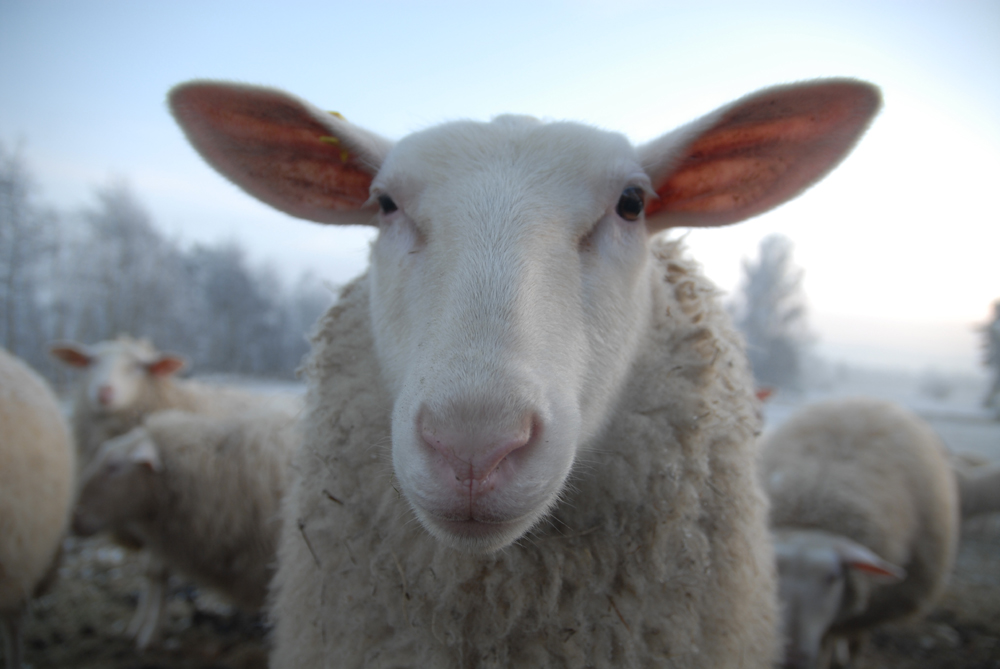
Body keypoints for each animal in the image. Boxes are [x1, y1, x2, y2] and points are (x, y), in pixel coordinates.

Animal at [756, 396, 960, 668]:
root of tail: (862, 400)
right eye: (773, 573)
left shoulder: (867, 612)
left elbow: (851, 644)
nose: (791, 657)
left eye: (832, 577)